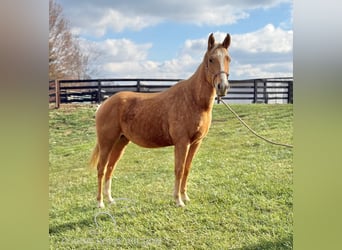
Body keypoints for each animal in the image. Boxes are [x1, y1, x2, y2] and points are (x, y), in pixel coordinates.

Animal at [89, 32, 231, 207]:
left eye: (228, 58)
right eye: (211, 59)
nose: (222, 87)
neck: (193, 99)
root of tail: (104, 103)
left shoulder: (196, 142)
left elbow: (187, 169)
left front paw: (185, 196)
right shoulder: (182, 142)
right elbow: (179, 169)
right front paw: (178, 200)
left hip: (120, 141)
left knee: (110, 167)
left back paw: (110, 199)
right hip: (107, 142)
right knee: (101, 168)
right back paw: (100, 203)